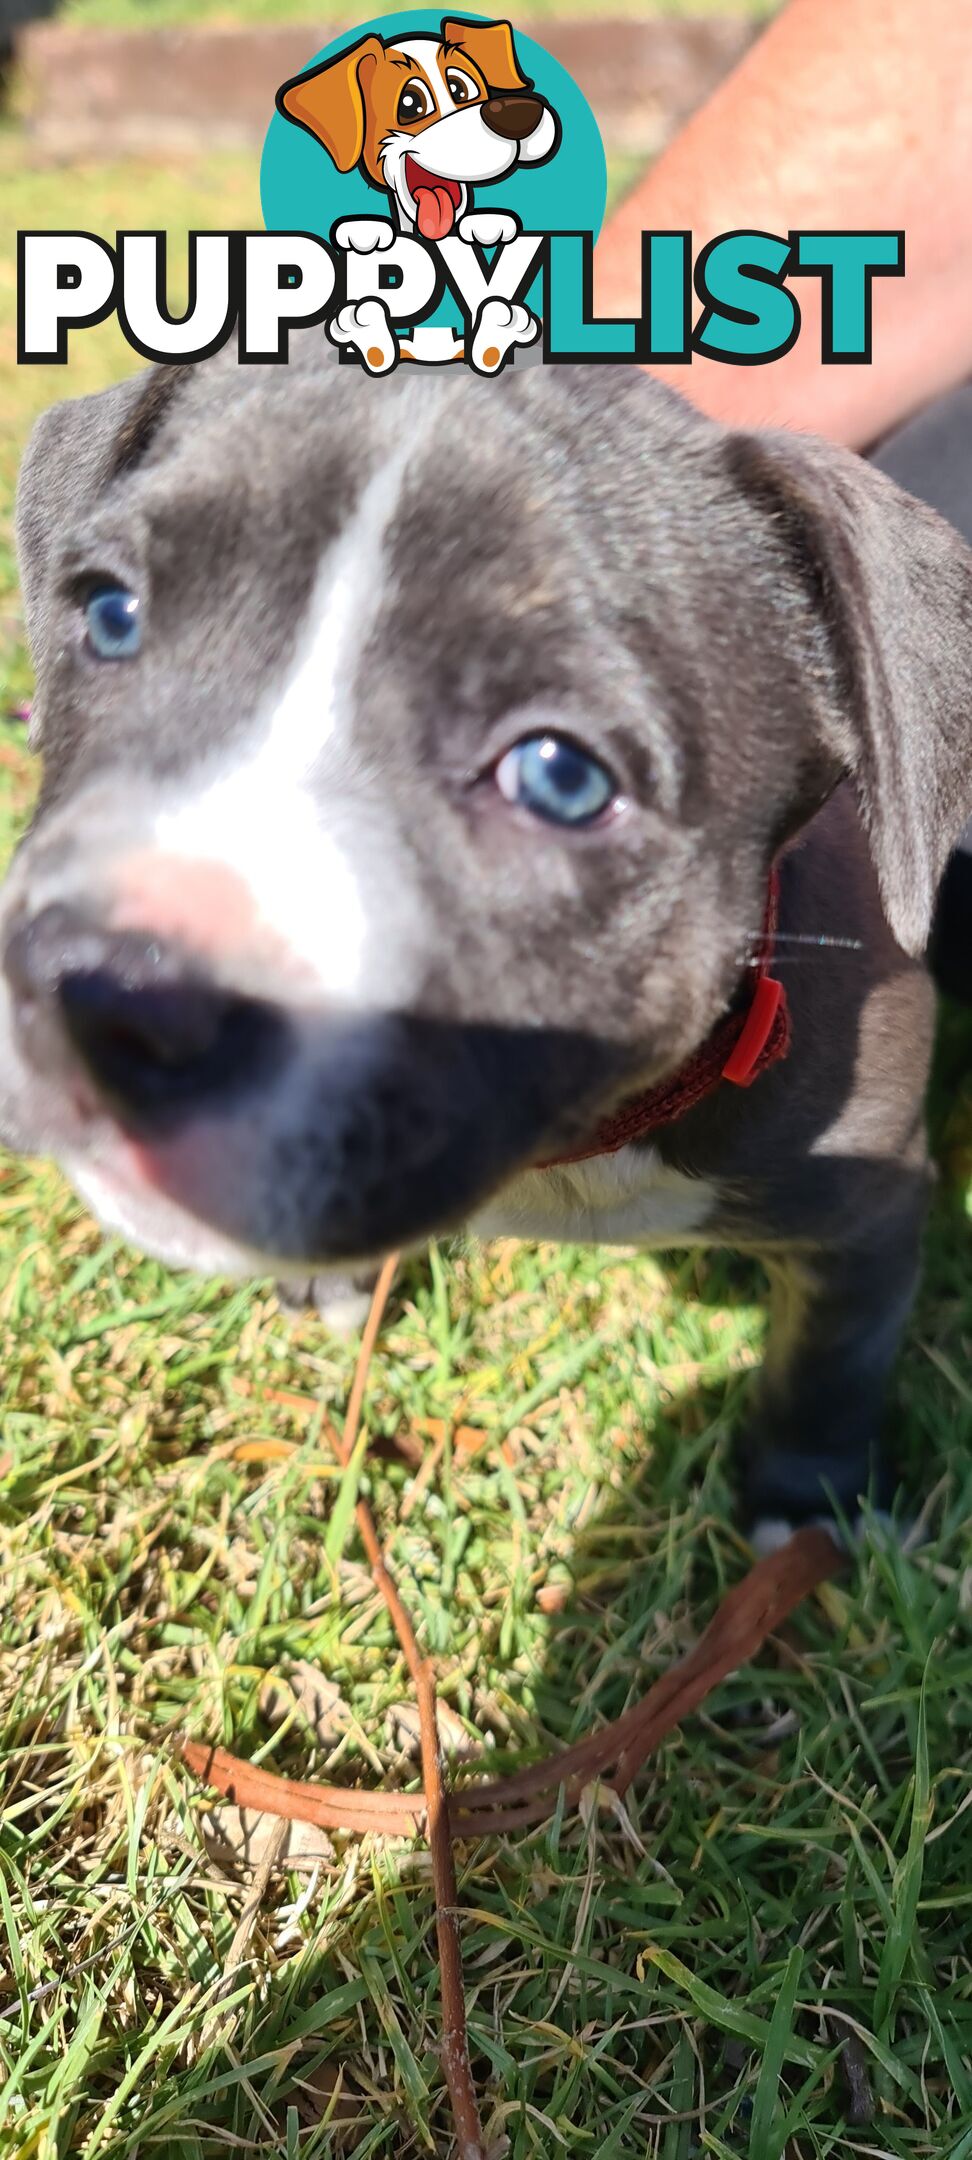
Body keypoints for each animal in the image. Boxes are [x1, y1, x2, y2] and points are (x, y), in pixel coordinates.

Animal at [1, 345, 972, 1537]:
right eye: (111, 616)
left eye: (560, 776)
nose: (107, 988)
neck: (580, 1151)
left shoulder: (870, 1211)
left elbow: (829, 1365)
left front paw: (806, 1503)